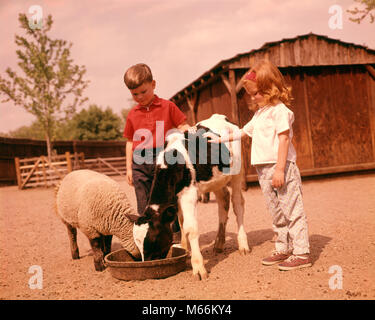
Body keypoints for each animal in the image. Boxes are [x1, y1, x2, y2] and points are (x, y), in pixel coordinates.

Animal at [143, 115, 250, 280]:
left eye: (154, 237)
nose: (147, 261)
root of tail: (222, 117)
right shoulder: (177, 198)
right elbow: (181, 223)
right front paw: (185, 250)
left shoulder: (189, 195)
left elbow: (190, 228)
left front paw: (198, 267)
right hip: (217, 180)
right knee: (223, 202)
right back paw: (219, 243)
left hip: (237, 173)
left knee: (237, 204)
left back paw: (243, 244)